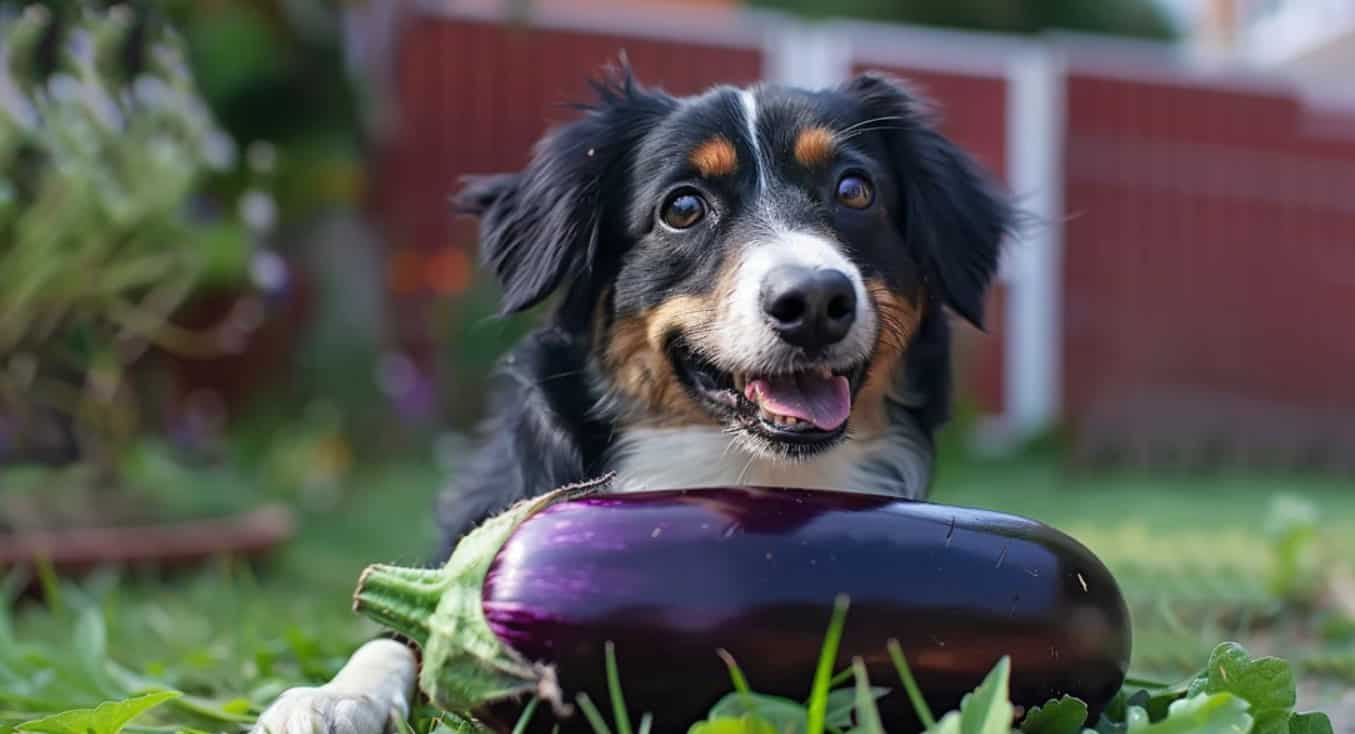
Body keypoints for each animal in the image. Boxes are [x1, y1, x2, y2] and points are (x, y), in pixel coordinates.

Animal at [256, 63, 1018, 734]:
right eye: (682, 207)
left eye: (854, 190)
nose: (813, 302)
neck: (742, 471)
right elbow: (394, 635)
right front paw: (331, 698)